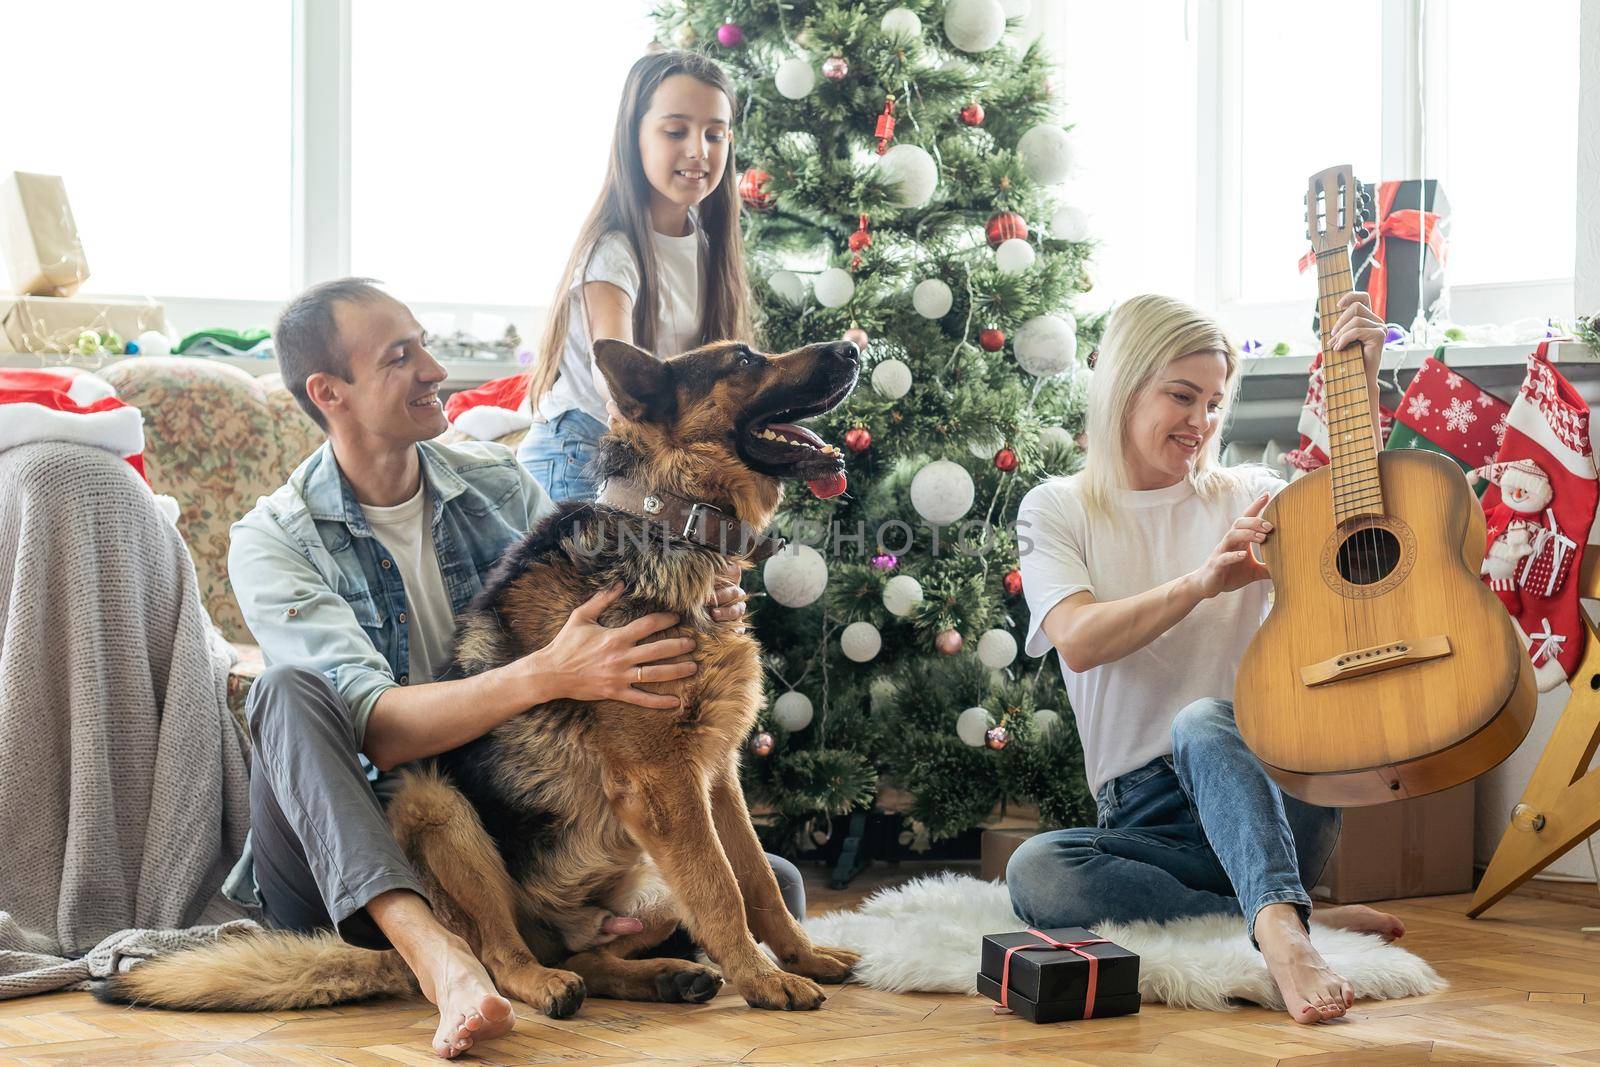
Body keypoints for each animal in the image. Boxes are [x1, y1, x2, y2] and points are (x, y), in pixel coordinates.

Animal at [96, 337, 864, 1023]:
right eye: (743, 360)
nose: (855, 349)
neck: (669, 522)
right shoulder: (663, 783)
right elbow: (720, 889)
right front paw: (765, 981)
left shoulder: (716, 776)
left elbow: (757, 880)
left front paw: (800, 958)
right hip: (438, 810)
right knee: (499, 954)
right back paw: (525, 988)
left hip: (637, 877)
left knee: (590, 954)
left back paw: (665, 974)